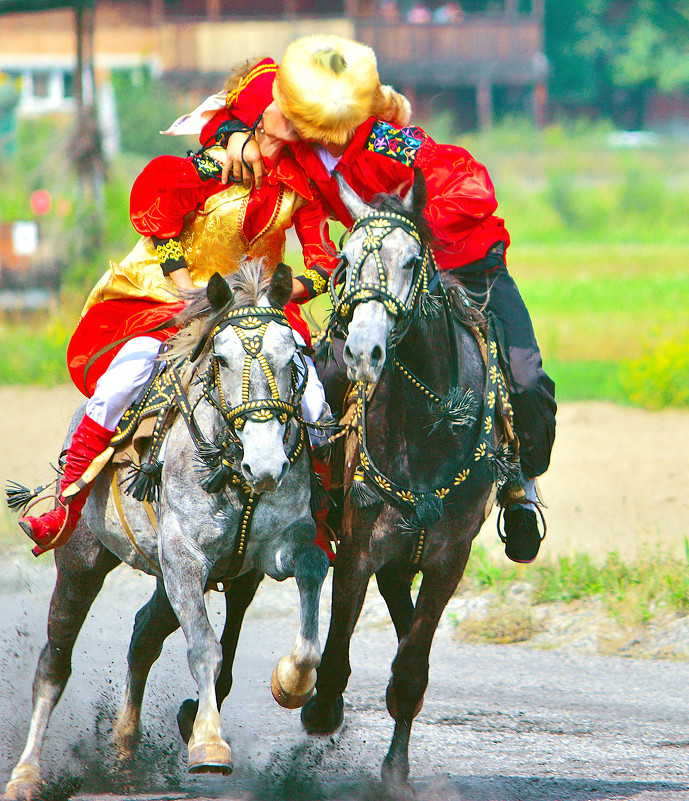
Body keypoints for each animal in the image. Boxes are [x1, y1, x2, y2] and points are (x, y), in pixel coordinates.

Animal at [4, 262, 328, 800]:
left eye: (292, 356)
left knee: (142, 637)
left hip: (164, 576)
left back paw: (124, 754)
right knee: (55, 661)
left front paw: (293, 681)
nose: (266, 465)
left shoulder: (270, 551)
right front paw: (209, 744)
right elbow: (204, 647)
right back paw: (26, 774)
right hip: (82, 560)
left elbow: (312, 570)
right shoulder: (184, 558)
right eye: (221, 357)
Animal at [300, 173, 516, 788]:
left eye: (412, 260)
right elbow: (337, 652)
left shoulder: (449, 556)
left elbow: (411, 667)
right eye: (345, 260)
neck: (426, 425)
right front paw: (321, 711)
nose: (362, 351)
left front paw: (396, 773)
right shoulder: (359, 547)